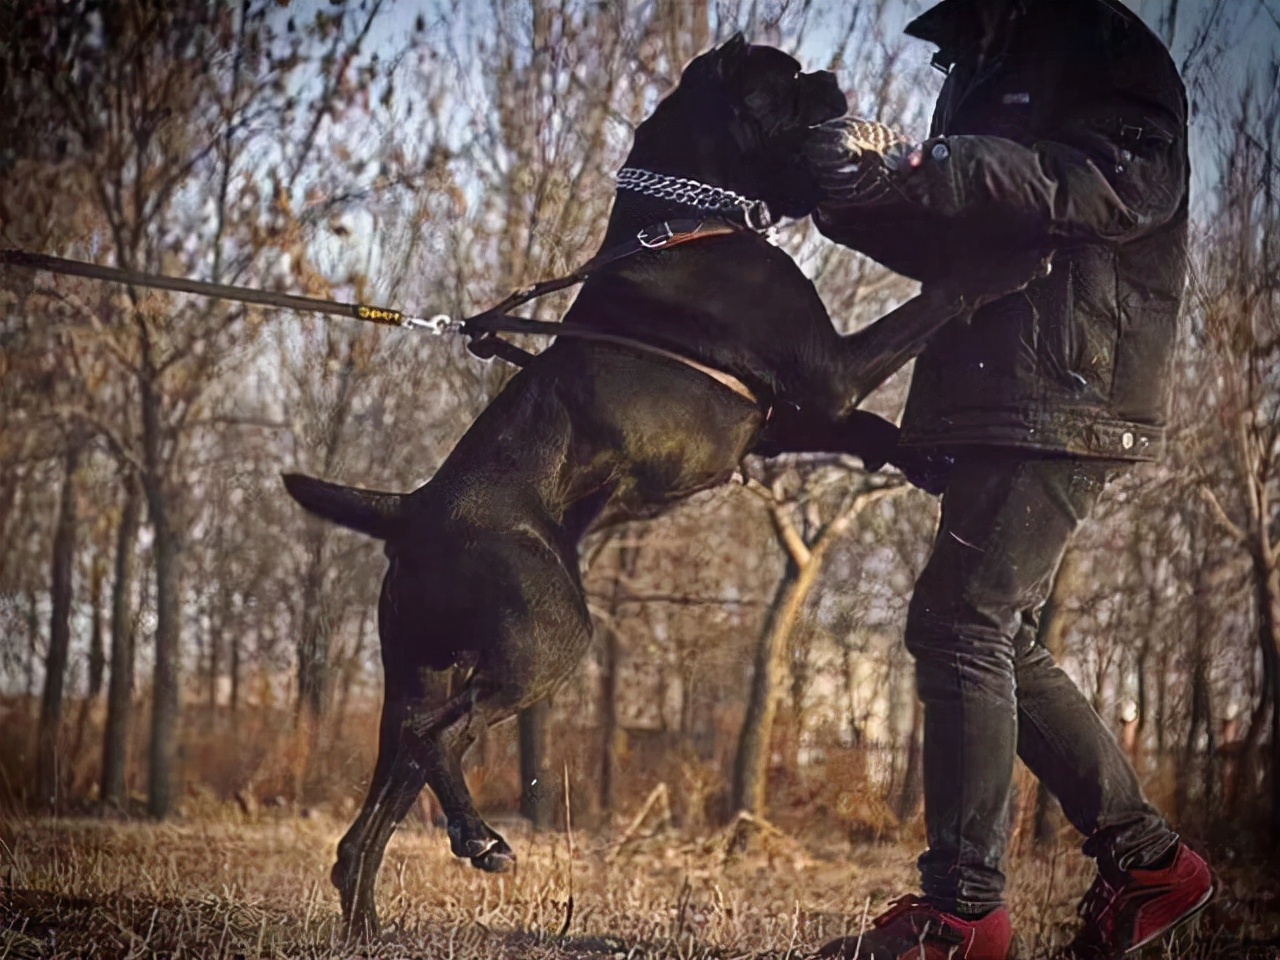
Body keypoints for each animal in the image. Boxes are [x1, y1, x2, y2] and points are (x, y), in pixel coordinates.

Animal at [282, 39, 952, 942]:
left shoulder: (793, 416)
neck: (678, 222)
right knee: (440, 735)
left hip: (417, 668)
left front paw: (930, 461)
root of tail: (412, 508)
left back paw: (372, 920)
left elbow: (876, 432)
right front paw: (1024, 257)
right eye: (787, 78)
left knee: (382, 799)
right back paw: (482, 839)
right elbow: (938, 301)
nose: (829, 76)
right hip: (550, 638)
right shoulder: (832, 371)